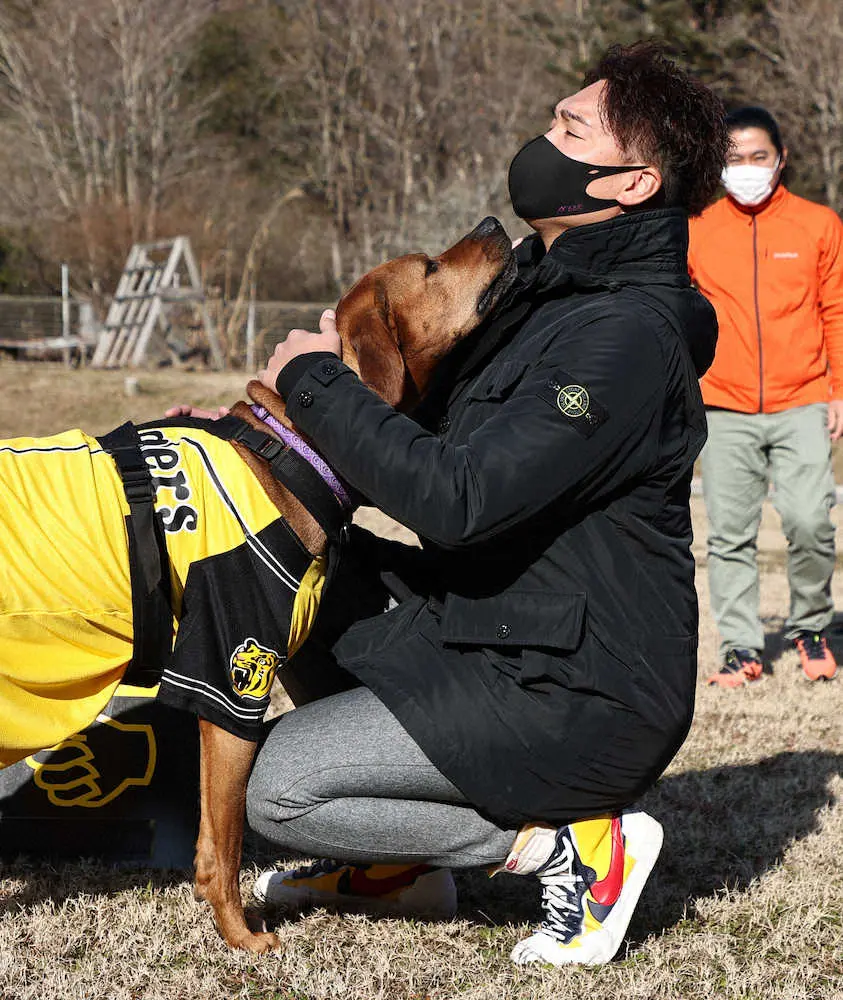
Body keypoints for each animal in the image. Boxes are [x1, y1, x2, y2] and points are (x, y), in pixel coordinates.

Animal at [0, 213, 516, 952]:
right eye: (428, 267)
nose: (496, 223)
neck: (290, 451)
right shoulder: (231, 683)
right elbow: (222, 842)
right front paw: (242, 938)